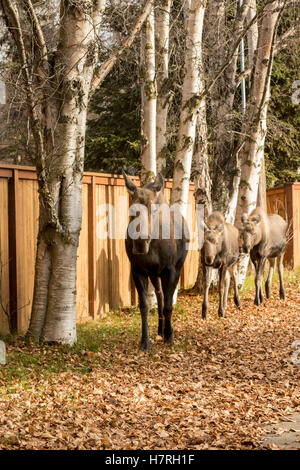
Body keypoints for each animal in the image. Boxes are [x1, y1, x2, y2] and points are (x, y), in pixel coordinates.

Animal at [122, 172, 188, 348]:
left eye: (154, 209)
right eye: (132, 209)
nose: (140, 242)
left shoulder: (170, 270)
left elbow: (169, 306)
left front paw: (169, 335)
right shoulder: (137, 270)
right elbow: (144, 306)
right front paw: (145, 341)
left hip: (177, 268)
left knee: (165, 299)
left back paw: (165, 330)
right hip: (154, 274)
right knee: (159, 297)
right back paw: (160, 328)